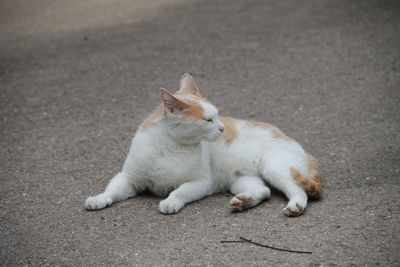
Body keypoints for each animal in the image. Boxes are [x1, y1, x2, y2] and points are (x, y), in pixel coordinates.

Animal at [84, 74, 322, 218]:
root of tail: (290, 139)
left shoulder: (200, 183)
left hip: (275, 169)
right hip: (240, 180)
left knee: (299, 190)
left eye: (217, 116)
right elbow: (112, 190)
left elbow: (179, 191)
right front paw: (99, 199)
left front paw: (170, 201)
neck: (170, 146)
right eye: (208, 120)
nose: (223, 128)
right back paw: (244, 202)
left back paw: (295, 206)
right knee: (263, 190)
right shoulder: (128, 178)